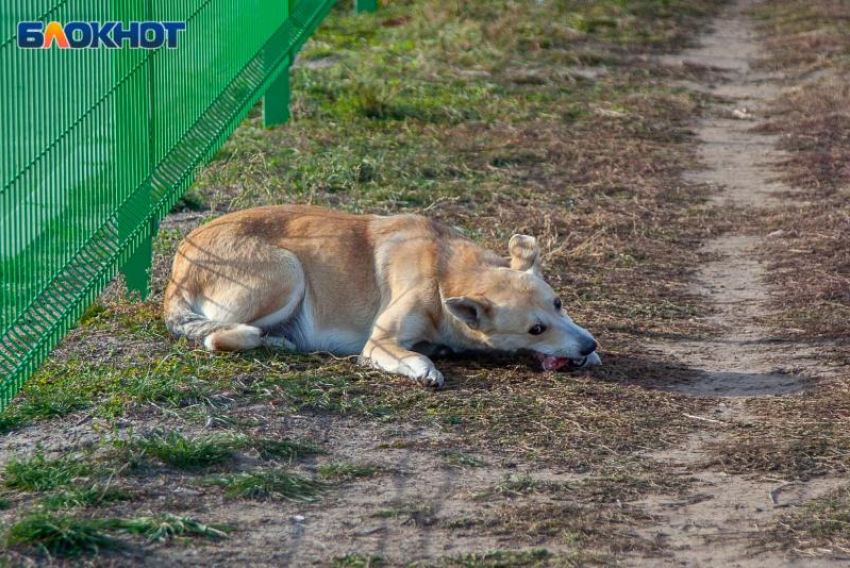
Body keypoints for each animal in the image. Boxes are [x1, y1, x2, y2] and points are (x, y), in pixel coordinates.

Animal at [161, 206, 596, 388]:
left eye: (558, 303)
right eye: (535, 329)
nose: (590, 344)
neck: (445, 274)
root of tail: (175, 273)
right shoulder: (379, 344)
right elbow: (415, 357)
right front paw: (425, 369)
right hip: (289, 272)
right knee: (222, 335)